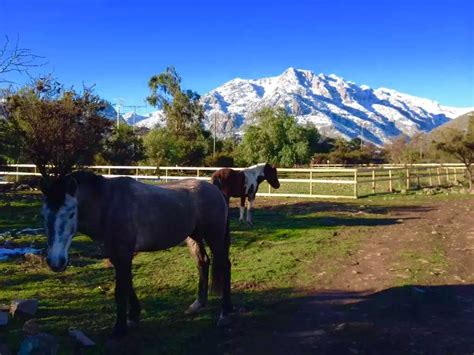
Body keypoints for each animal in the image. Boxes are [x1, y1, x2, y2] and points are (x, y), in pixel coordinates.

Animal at [39, 172, 232, 340]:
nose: (56, 262)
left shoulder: (124, 253)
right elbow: (128, 284)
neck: (107, 205)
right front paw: (133, 317)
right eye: (44, 216)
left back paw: (224, 315)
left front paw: (120, 329)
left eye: (72, 213)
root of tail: (214, 189)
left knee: (225, 265)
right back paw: (197, 305)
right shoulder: (116, 255)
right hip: (193, 237)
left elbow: (120, 290)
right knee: (203, 262)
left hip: (214, 237)